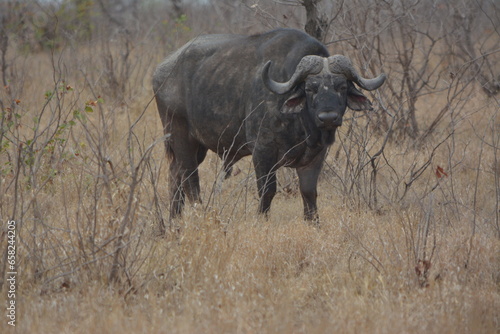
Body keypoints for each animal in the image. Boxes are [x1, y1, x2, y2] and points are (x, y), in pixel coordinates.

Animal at [153, 28, 386, 222]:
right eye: (310, 88)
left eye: (342, 87)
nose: (328, 117)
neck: (302, 125)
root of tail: (162, 71)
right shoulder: (262, 151)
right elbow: (267, 190)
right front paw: (261, 220)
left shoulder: (316, 156)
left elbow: (309, 192)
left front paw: (313, 222)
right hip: (180, 136)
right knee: (190, 180)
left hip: (197, 146)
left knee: (175, 176)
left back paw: (174, 220)